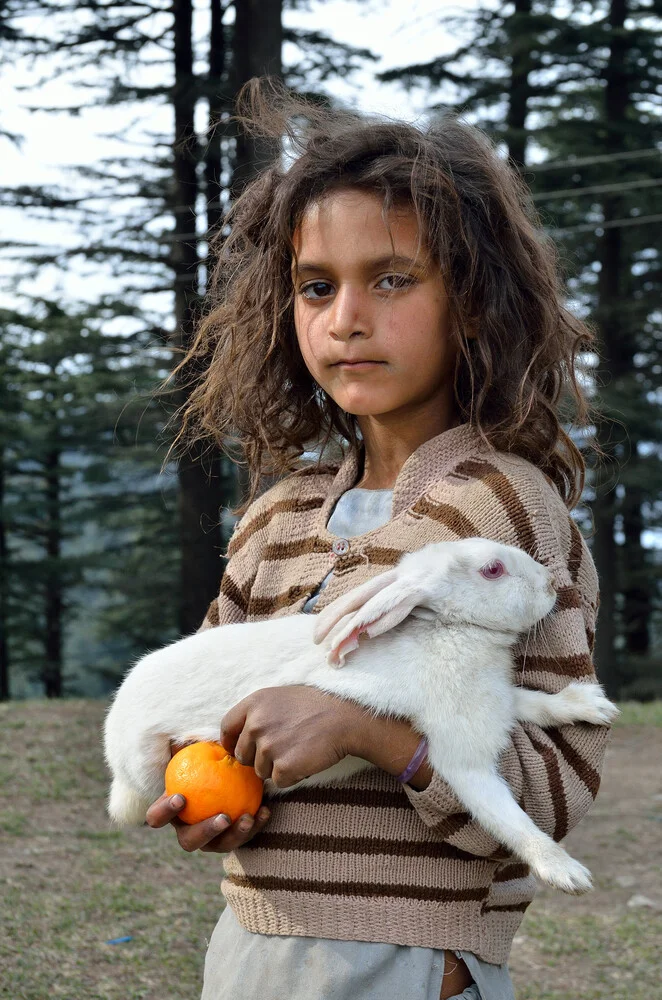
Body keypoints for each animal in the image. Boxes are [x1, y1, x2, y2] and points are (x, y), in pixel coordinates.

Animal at [102, 536, 616, 896]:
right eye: (493, 569)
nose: (551, 584)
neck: (449, 629)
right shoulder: (461, 756)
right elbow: (510, 820)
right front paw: (567, 873)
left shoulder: (497, 701)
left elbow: (531, 701)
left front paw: (590, 705)